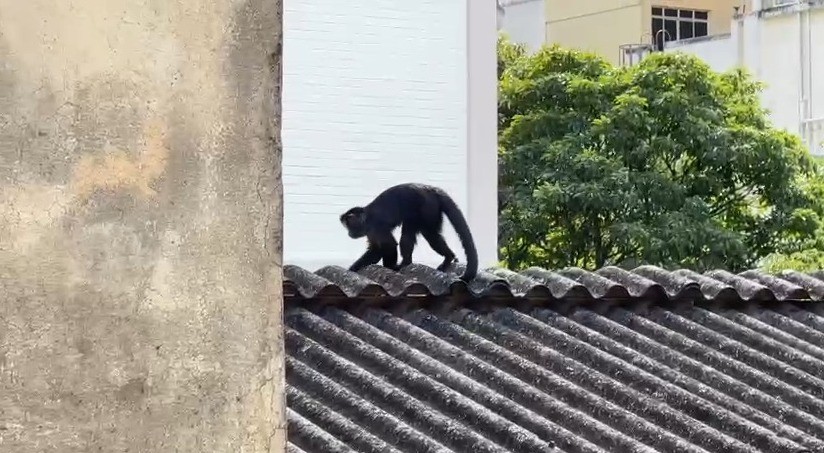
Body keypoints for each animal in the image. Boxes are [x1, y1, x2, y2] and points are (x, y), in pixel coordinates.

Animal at [340, 183, 479, 282]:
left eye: (348, 226)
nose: (349, 233)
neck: (367, 218)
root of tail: (432, 190)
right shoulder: (370, 231)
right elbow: (375, 250)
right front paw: (353, 269)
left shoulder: (376, 226)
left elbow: (389, 245)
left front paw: (390, 267)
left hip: (427, 207)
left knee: (424, 234)